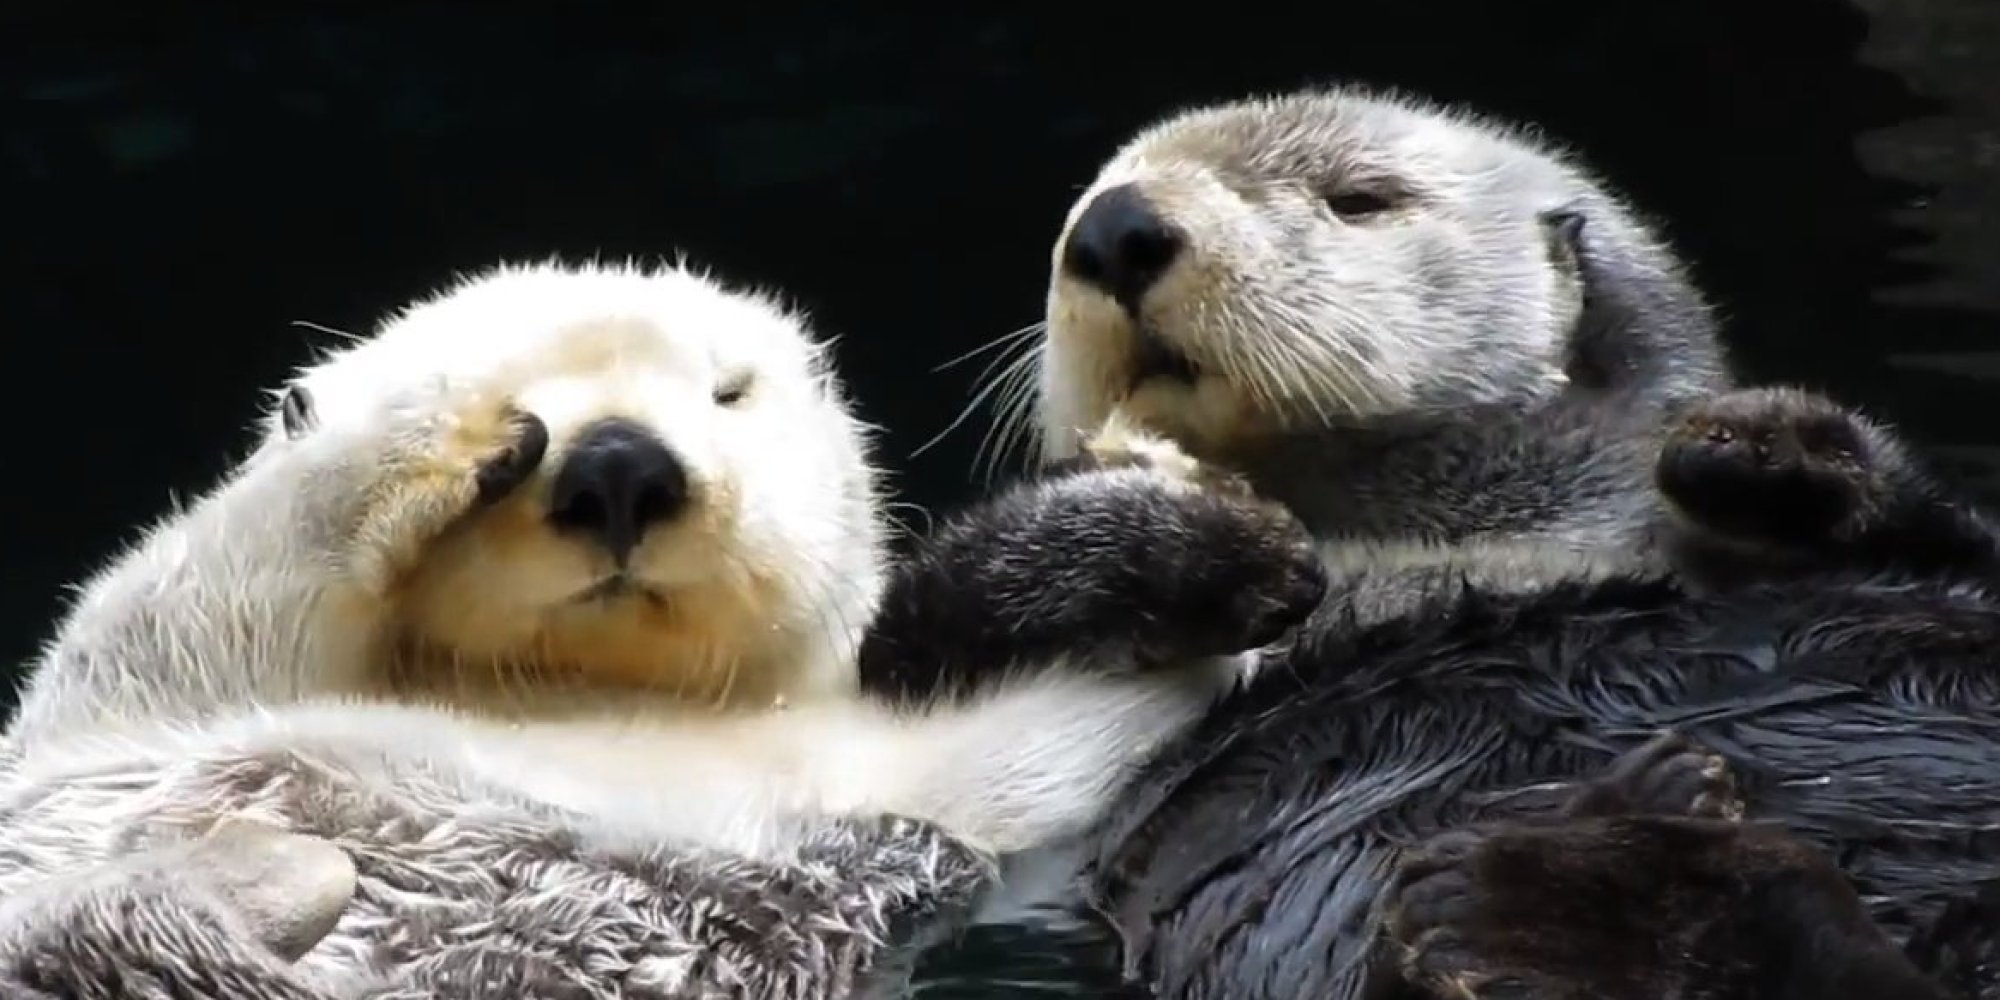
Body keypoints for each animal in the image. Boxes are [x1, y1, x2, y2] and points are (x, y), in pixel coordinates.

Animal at [0, 261, 1326, 999]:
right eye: (519, 398)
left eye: (728, 392)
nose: (617, 462)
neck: (574, 700)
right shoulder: (132, 705)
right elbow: (194, 584)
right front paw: (434, 429)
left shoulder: (957, 798)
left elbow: (1094, 718)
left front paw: (1184, 529)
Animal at [945, 87, 2000, 998]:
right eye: (1083, 202)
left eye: (1360, 198)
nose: (1113, 231)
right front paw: (1173, 529)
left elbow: (1950, 550)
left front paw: (1758, 448)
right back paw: (1588, 888)